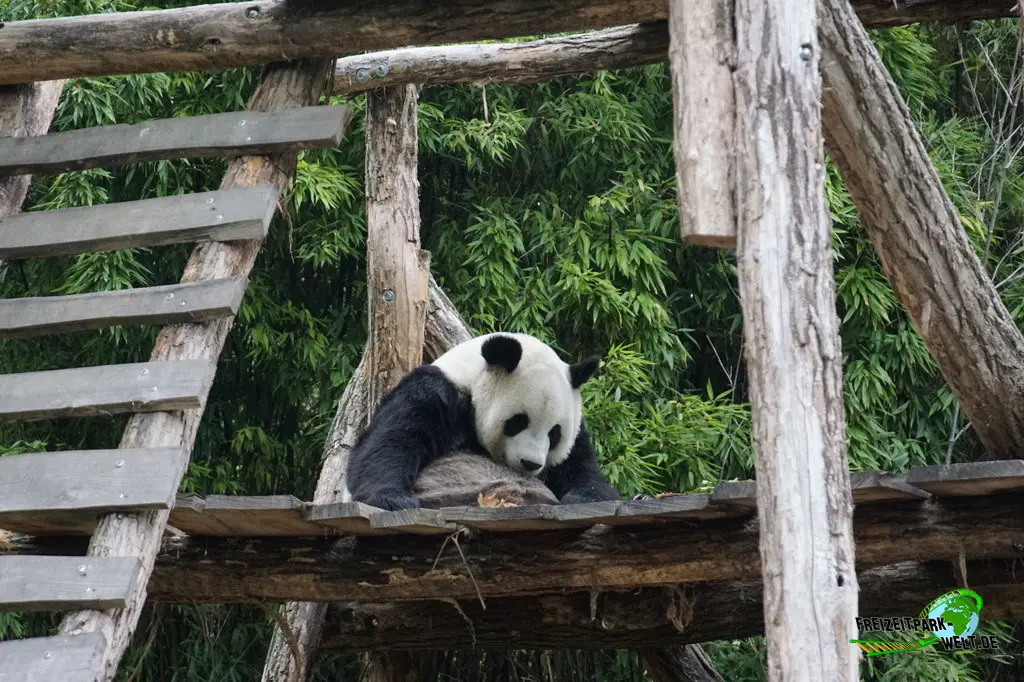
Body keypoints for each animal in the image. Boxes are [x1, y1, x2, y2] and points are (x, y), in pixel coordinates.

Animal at [343, 332, 620, 511]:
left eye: (554, 433)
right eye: (518, 422)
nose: (531, 464)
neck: (471, 378)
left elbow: (581, 467)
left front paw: (585, 497)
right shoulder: (435, 392)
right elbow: (391, 441)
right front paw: (392, 498)